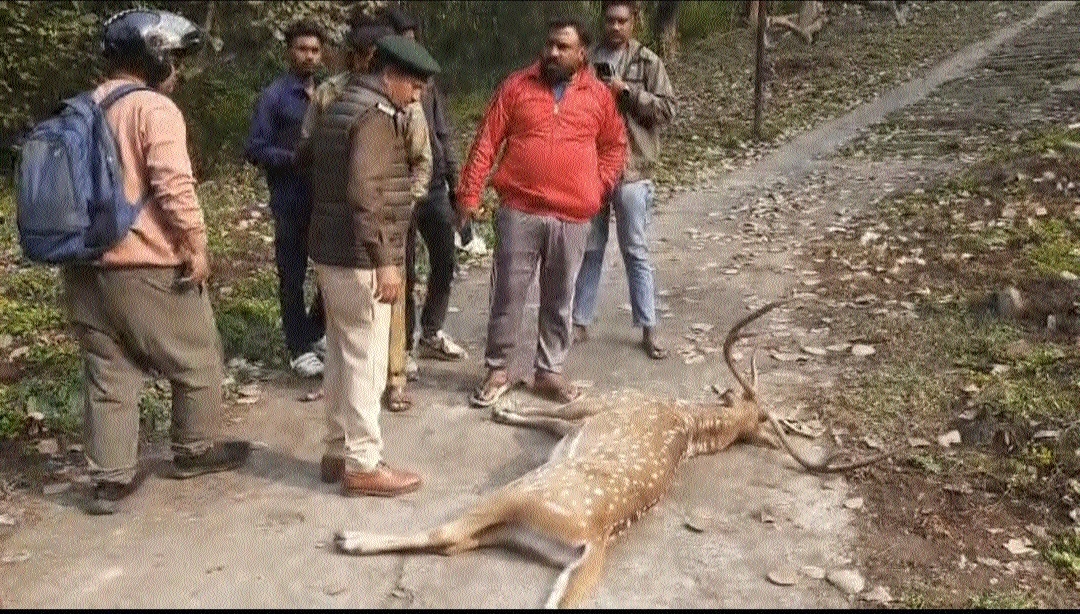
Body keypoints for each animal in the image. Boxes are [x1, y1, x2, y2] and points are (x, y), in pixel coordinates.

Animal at [334, 300, 887, 608]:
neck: (688, 420)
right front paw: (506, 408)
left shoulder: (604, 404)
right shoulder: (581, 424)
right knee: (458, 545)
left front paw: (503, 406)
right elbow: (553, 420)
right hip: (518, 526)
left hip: (521, 491)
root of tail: (594, 538)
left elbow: (558, 410)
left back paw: (349, 537)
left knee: (445, 533)